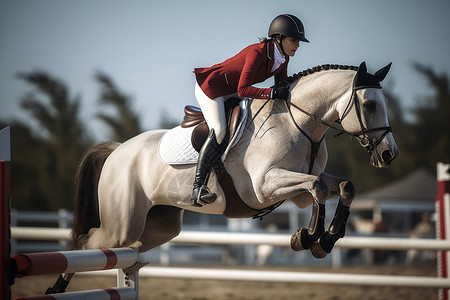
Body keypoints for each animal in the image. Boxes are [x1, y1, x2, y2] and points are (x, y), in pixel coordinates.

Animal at [46, 61, 398, 292]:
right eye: (369, 104)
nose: (388, 155)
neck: (299, 122)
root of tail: (118, 150)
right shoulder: (266, 186)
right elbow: (318, 188)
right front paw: (308, 238)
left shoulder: (297, 190)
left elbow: (341, 187)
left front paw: (325, 240)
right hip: (121, 224)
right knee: (87, 243)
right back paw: (55, 289)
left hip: (157, 227)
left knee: (127, 252)